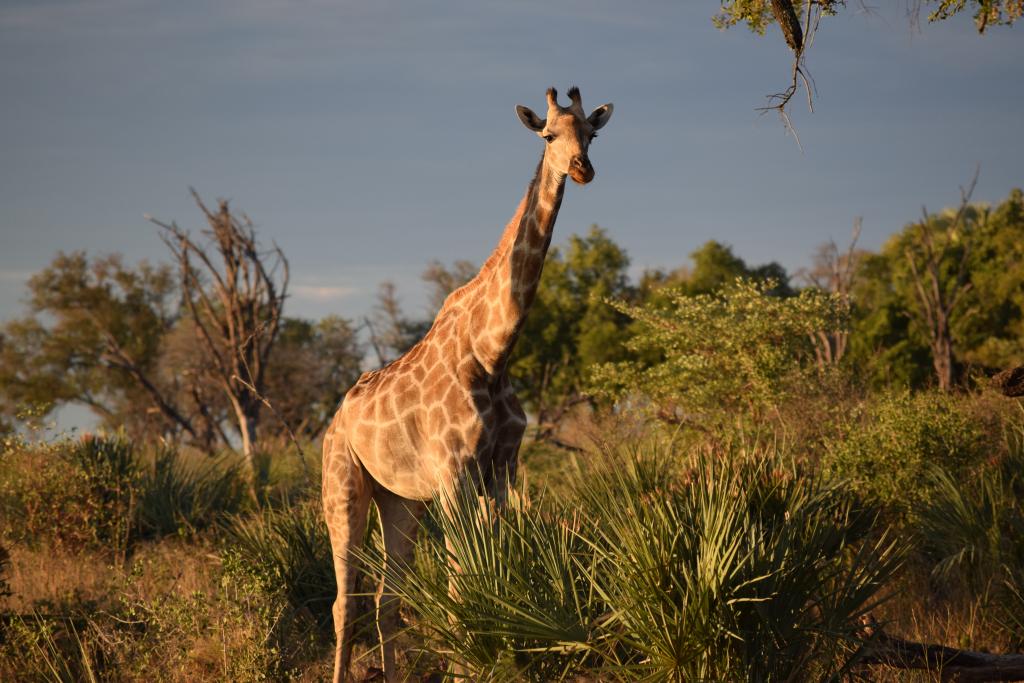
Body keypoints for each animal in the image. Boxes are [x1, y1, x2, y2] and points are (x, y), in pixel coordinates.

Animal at [319, 87, 610, 683]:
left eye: (591, 135)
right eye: (548, 134)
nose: (581, 169)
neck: (492, 352)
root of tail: (335, 419)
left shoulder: (501, 470)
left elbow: (488, 581)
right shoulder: (454, 475)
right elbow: (459, 589)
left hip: (400, 500)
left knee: (387, 599)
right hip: (343, 488)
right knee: (345, 601)